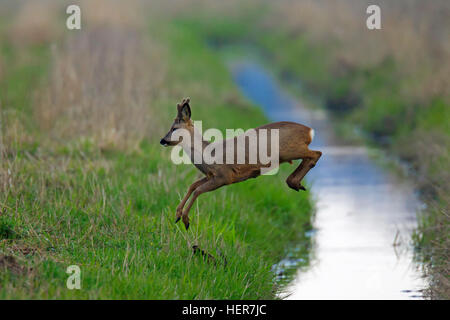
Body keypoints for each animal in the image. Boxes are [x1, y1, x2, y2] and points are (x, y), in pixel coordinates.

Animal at [160, 97, 322, 230]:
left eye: (174, 128)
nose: (162, 140)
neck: (208, 154)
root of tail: (310, 131)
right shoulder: (211, 175)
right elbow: (192, 185)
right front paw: (177, 214)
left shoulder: (224, 176)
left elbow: (198, 190)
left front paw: (186, 220)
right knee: (313, 155)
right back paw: (295, 183)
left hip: (290, 150)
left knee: (316, 153)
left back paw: (294, 182)